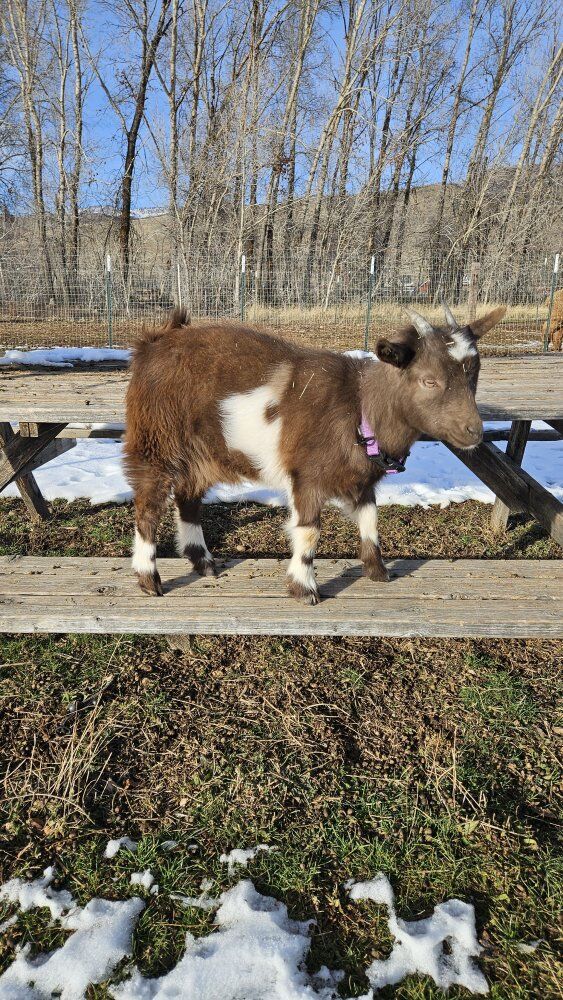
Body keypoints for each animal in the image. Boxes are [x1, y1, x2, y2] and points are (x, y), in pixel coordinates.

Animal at [124, 304, 505, 603]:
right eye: (429, 380)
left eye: (474, 374)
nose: (474, 432)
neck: (359, 407)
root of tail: (153, 343)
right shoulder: (305, 476)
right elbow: (309, 530)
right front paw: (304, 588)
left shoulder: (361, 479)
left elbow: (371, 520)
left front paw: (378, 571)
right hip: (155, 441)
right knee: (149, 505)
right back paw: (148, 579)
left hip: (203, 453)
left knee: (188, 497)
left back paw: (203, 563)